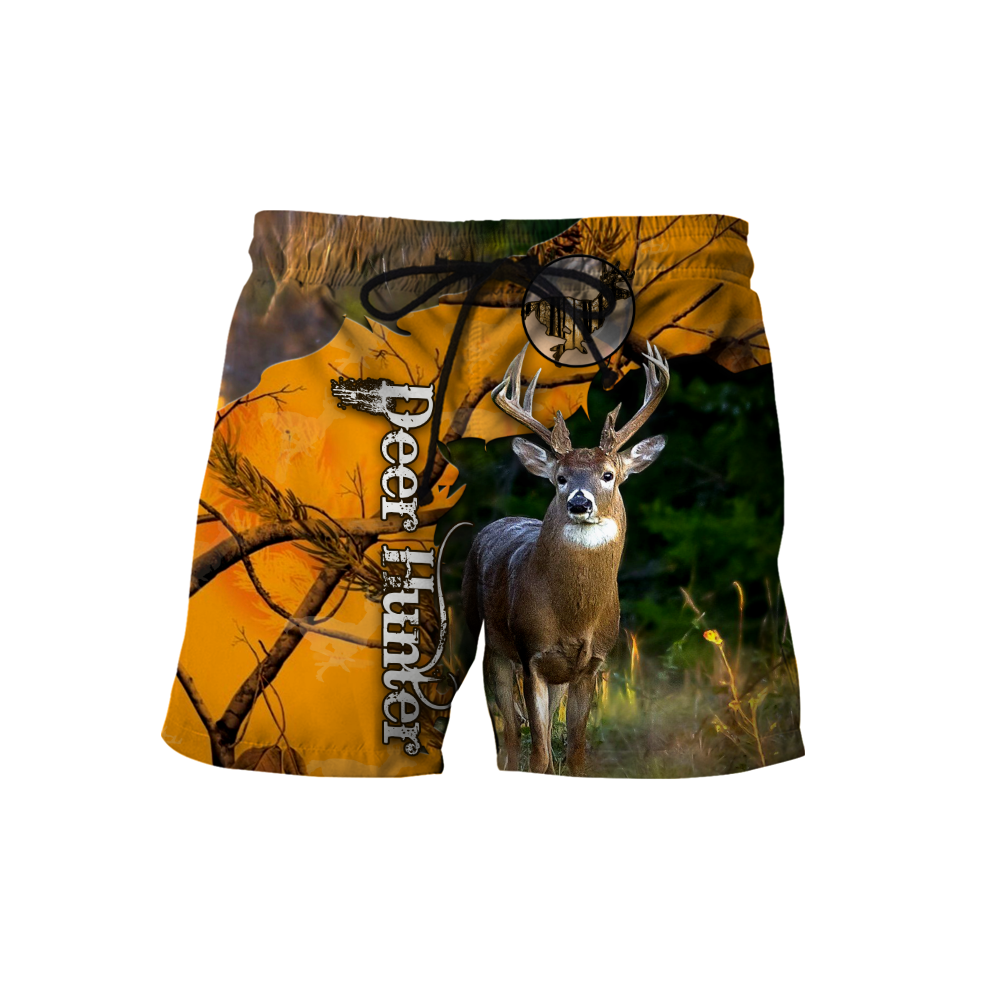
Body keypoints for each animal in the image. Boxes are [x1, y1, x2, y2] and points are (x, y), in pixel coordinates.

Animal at [462, 341, 670, 774]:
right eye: (560, 478)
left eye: (608, 474)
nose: (578, 502)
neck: (574, 617)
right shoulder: (531, 655)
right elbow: (539, 754)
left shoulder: (591, 664)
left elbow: (575, 753)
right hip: (488, 644)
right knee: (509, 733)